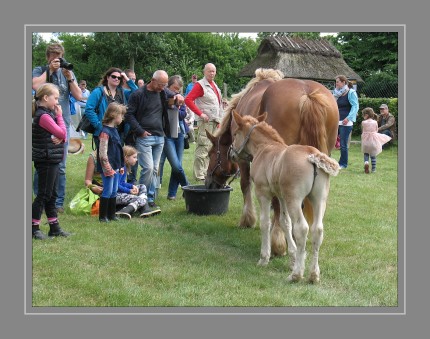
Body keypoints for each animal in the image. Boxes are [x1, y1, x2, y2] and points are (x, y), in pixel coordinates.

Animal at [205, 68, 340, 255]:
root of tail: (307, 94)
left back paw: (278, 241)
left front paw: (248, 219)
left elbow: (245, 184)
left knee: (279, 203)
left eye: (210, 154)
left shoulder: (245, 159)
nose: (208, 183)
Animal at [228, 112, 340, 284]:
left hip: (295, 199)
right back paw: (313, 275)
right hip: (319, 199)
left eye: (235, 134)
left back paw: (296, 275)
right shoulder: (281, 197)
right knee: (317, 229)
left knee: (302, 228)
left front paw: (264, 258)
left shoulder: (263, 193)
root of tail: (312, 154)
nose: (232, 154)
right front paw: (292, 259)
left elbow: (265, 223)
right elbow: (285, 222)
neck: (265, 147)